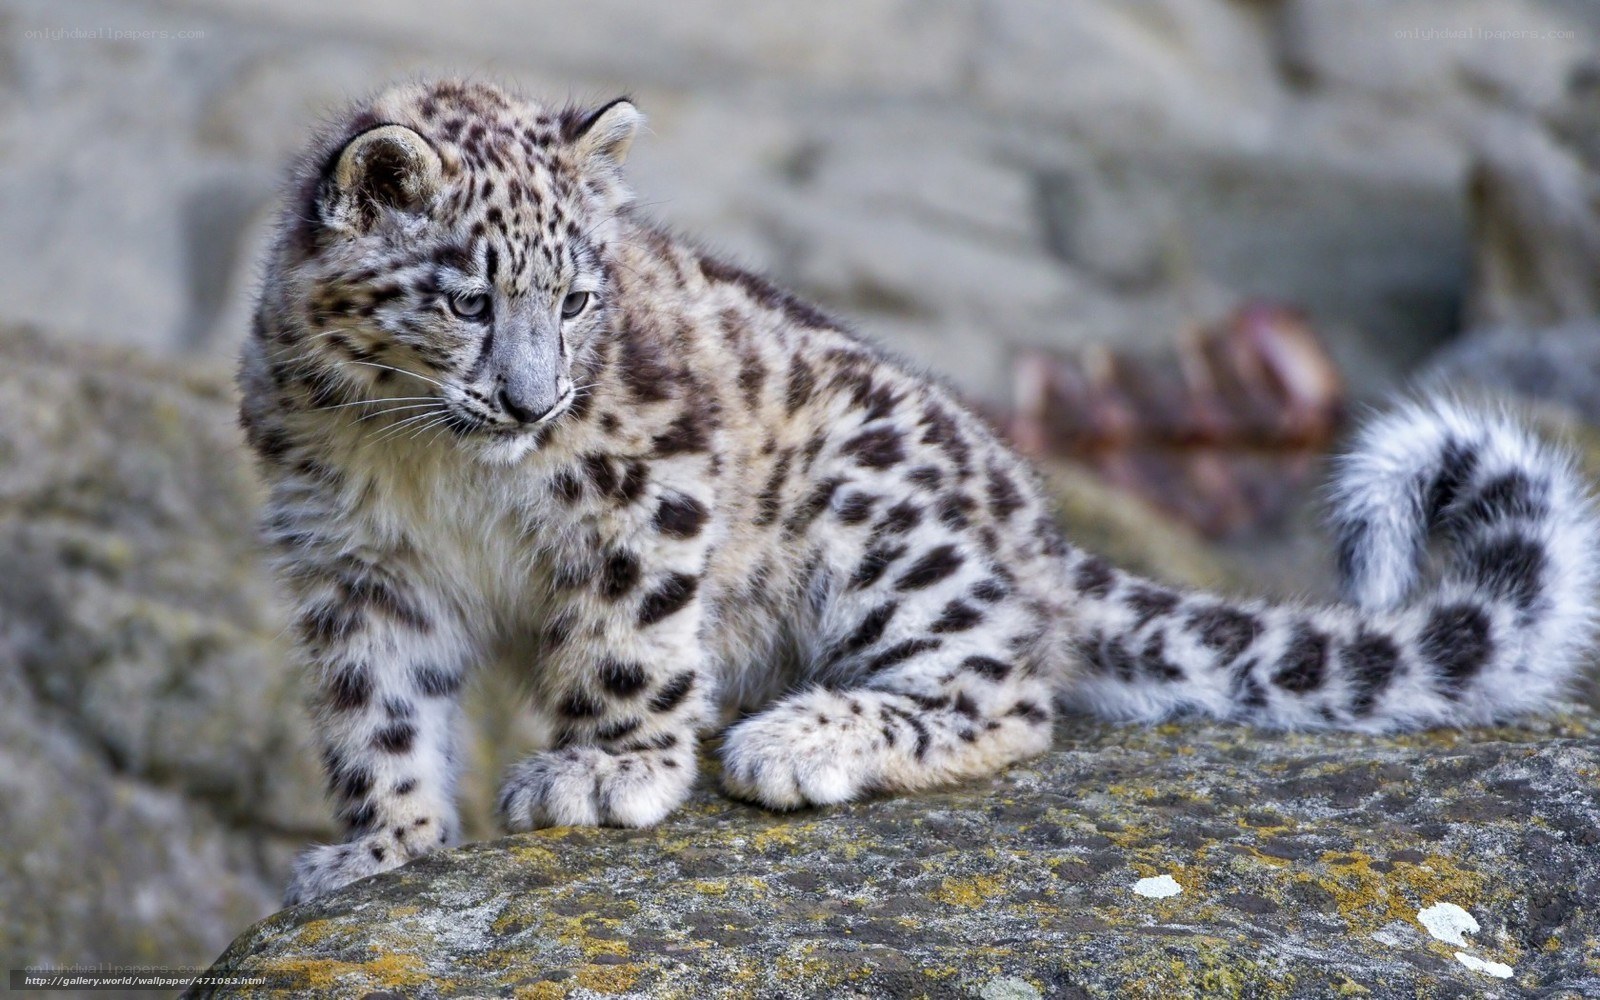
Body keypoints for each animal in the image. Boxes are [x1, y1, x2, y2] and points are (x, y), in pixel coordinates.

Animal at [237, 78, 1600, 905]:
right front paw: (381, 847)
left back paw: (796, 738)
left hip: (876, 520)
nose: (532, 402)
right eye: (470, 299)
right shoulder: (354, 566)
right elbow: (377, 711)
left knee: (1006, 694)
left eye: (574, 298)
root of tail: (1037, 527)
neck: (433, 464)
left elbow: (627, 639)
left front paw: (604, 769)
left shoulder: (648, 482)